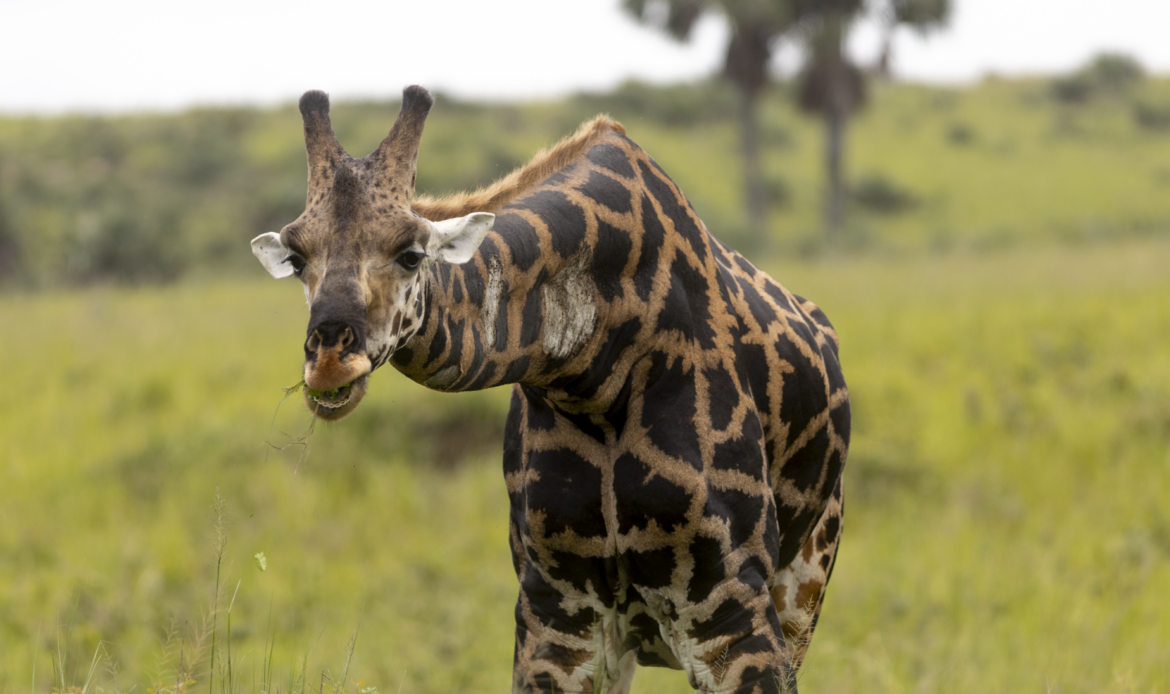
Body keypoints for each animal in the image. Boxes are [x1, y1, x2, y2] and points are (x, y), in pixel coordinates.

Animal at [251, 86, 849, 694]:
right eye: (297, 259)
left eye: (411, 254)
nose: (329, 362)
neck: (592, 374)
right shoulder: (558, 611)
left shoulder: (729, 603)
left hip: (803, 584)